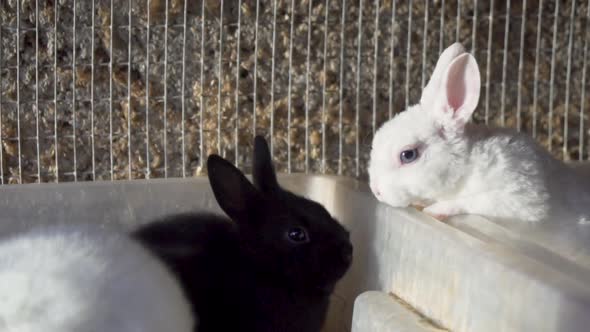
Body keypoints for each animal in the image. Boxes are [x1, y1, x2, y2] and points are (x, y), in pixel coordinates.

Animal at [370, 41, 590, 223]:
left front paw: (435, 210)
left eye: (408, 155)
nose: (376, 191)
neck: (467, 164)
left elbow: (471, 202)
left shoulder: (520, 196)